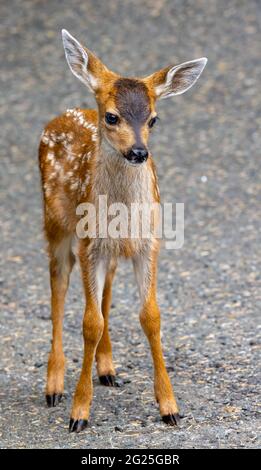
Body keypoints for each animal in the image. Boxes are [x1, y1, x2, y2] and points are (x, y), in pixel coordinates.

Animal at [38, 29, 206, 434]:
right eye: (112, 116)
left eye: (154, 119)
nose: (139, 152)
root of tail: (63, 115)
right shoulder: (89, 244)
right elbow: (88, 322)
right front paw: (79, 412)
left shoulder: (148, 244)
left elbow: (150, 317)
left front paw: (170, 407)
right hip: (57, 227)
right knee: (58, 292)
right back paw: (54, 386)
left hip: (111, 252)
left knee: (106, 294)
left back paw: (108, 369)